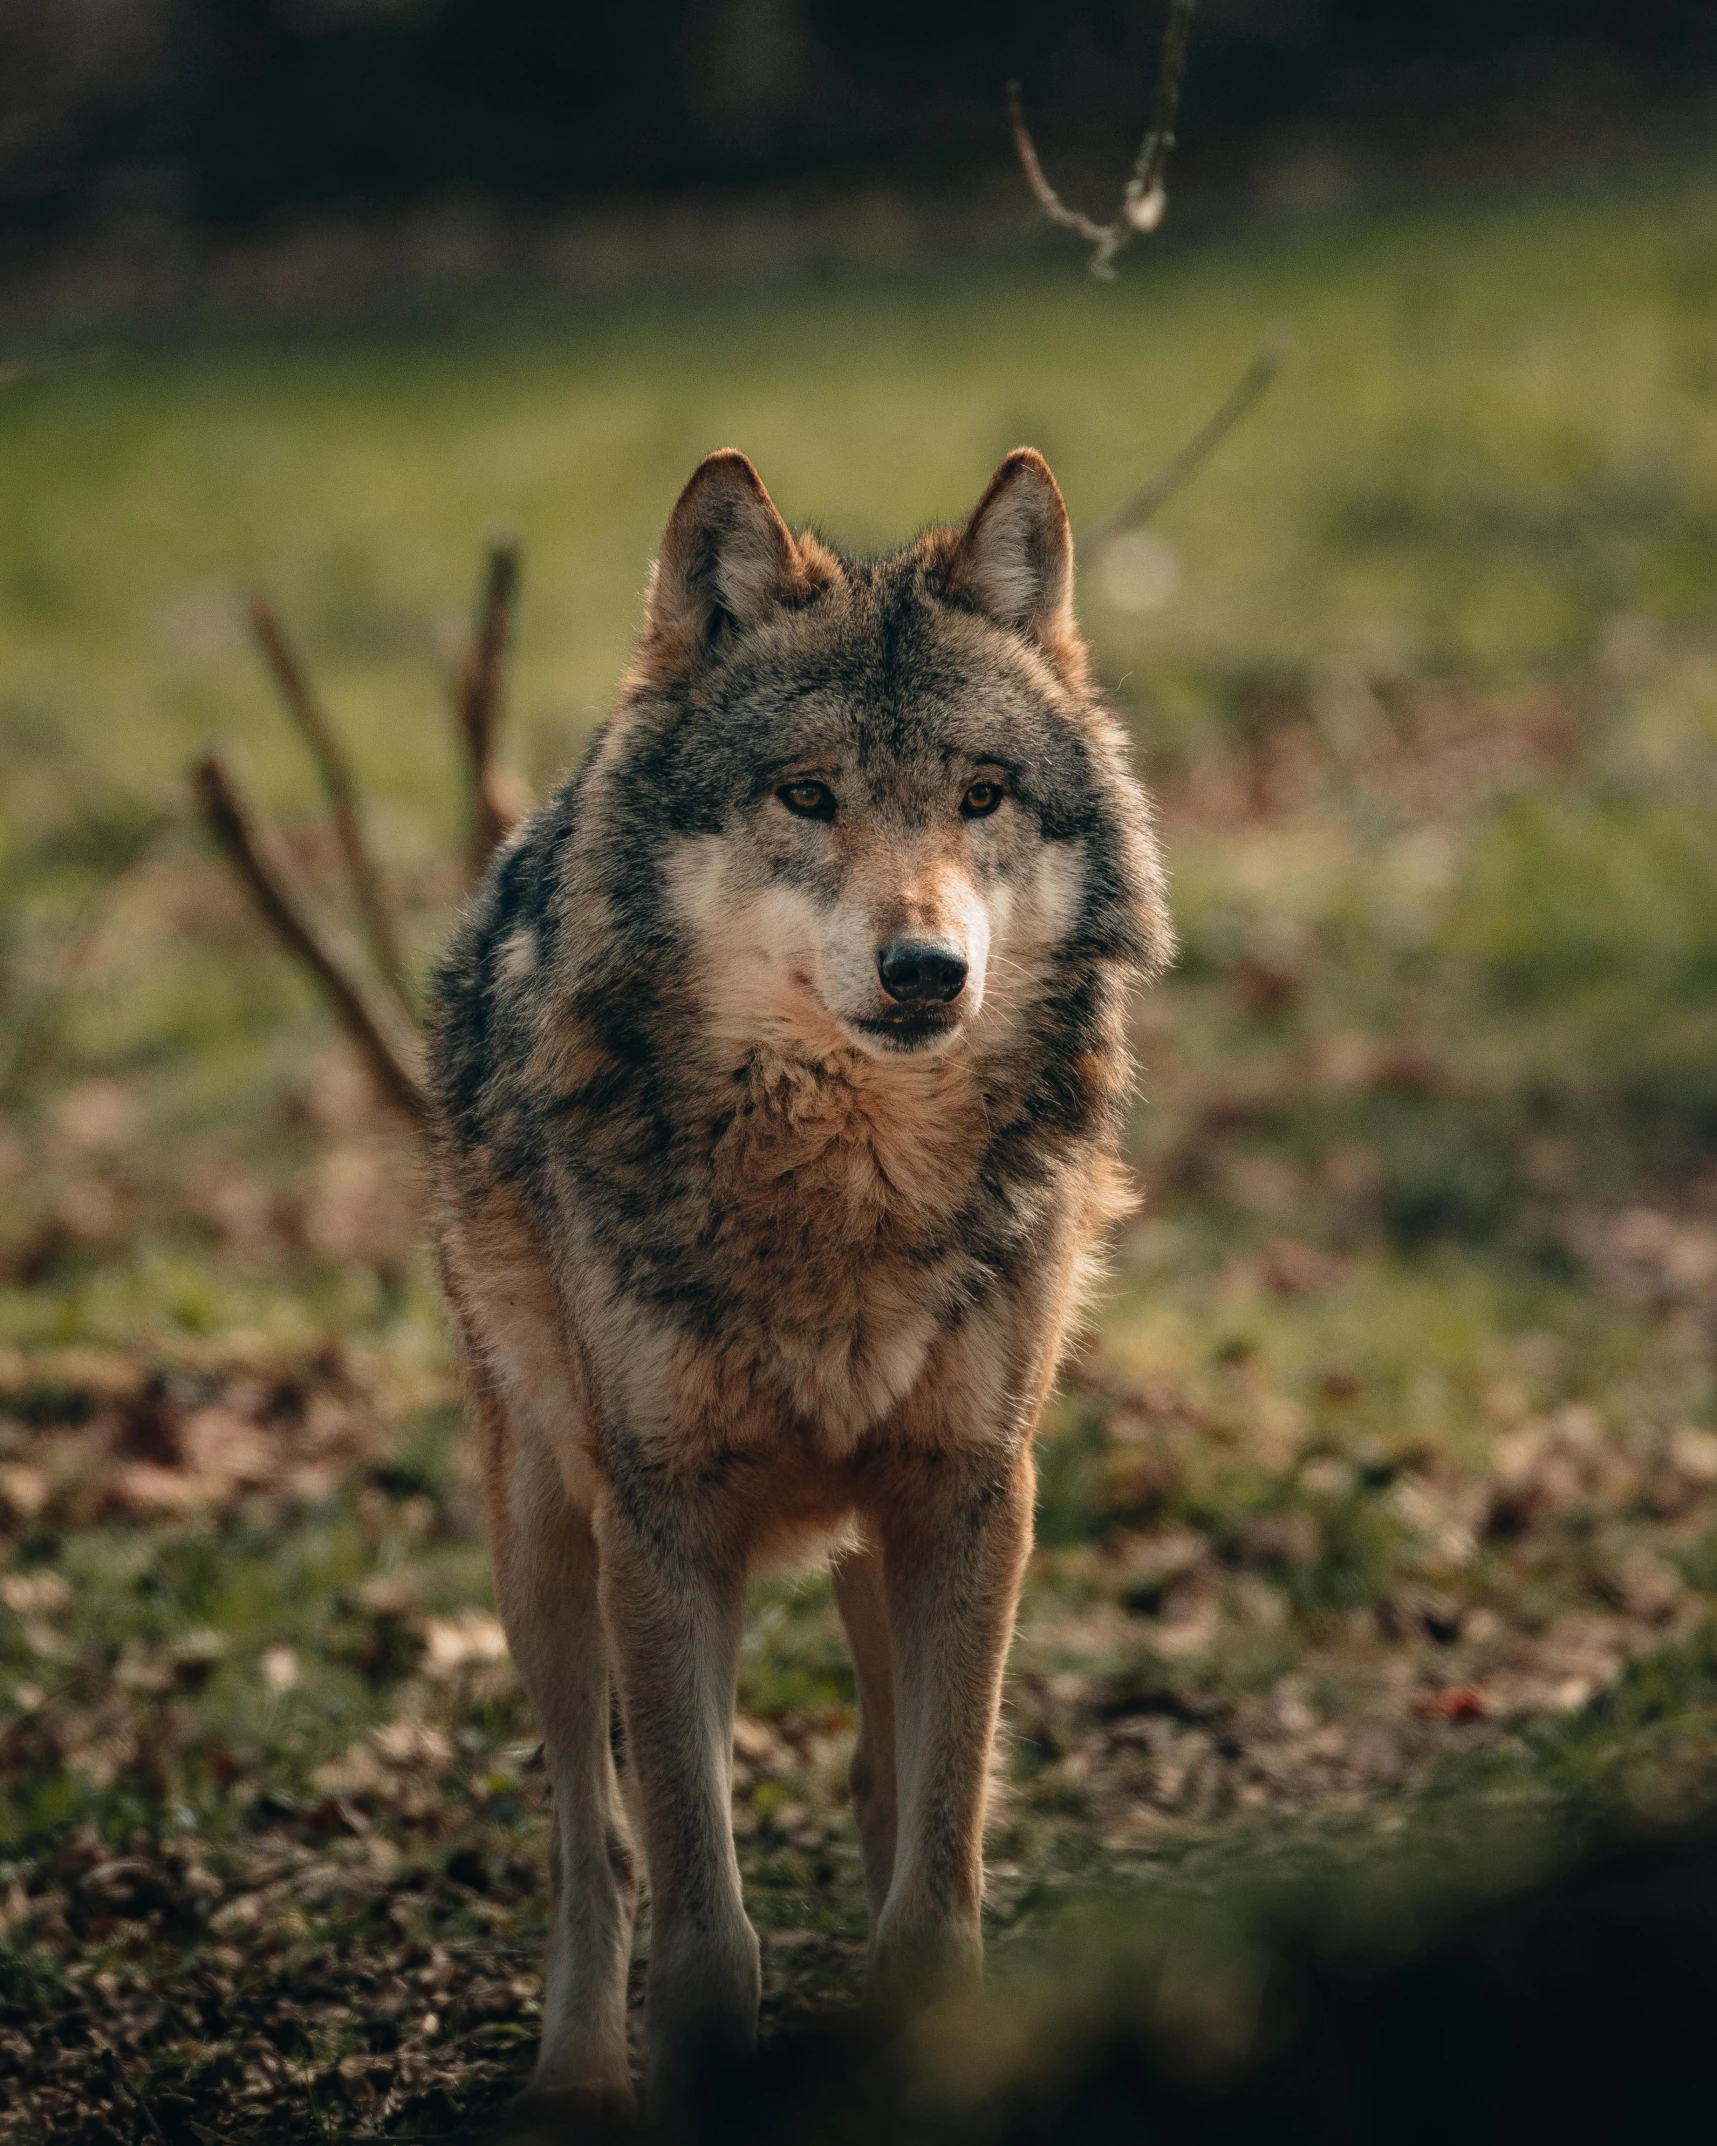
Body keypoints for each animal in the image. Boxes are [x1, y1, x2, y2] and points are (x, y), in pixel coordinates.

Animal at [424, 444, 1167, 2120]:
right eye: (807, 794)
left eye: (980, 794)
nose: (925, 971)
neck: (849, 1195)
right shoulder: (661, 1516)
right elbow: (695, 1905)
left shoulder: (974, 1488)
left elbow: (937, 1860)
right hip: (540, 1536)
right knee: (591, 1841)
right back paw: (576, 2077)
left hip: (881, 1541)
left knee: (887, 1777)